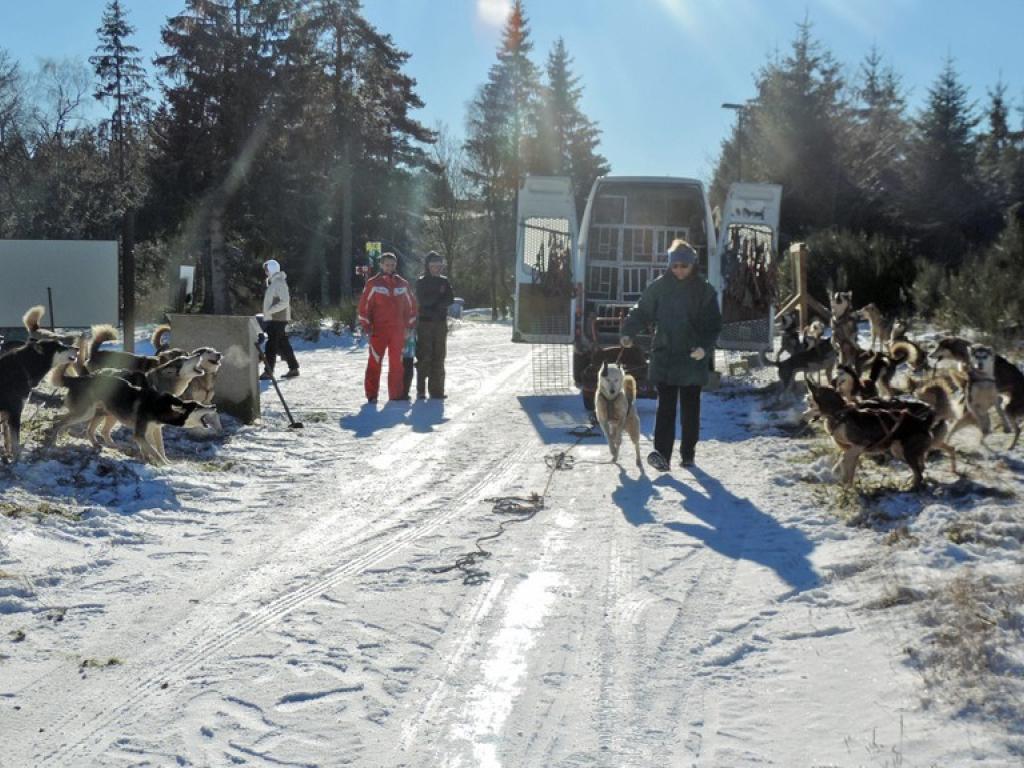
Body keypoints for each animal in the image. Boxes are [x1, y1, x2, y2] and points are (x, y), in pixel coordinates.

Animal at [806, 382, 950, 489]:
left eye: (810, 403)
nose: (804, 414)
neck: (840, 414)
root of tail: (923, 422)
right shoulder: (854, 452)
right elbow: (848, 469)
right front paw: (847, 486)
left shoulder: (860, 445)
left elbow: (844, 458)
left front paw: (840, 473)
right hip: (898, 450)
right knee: (920, 468)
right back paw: (911, 482)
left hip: (907, 452)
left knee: (919, 473)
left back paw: (910, 488)